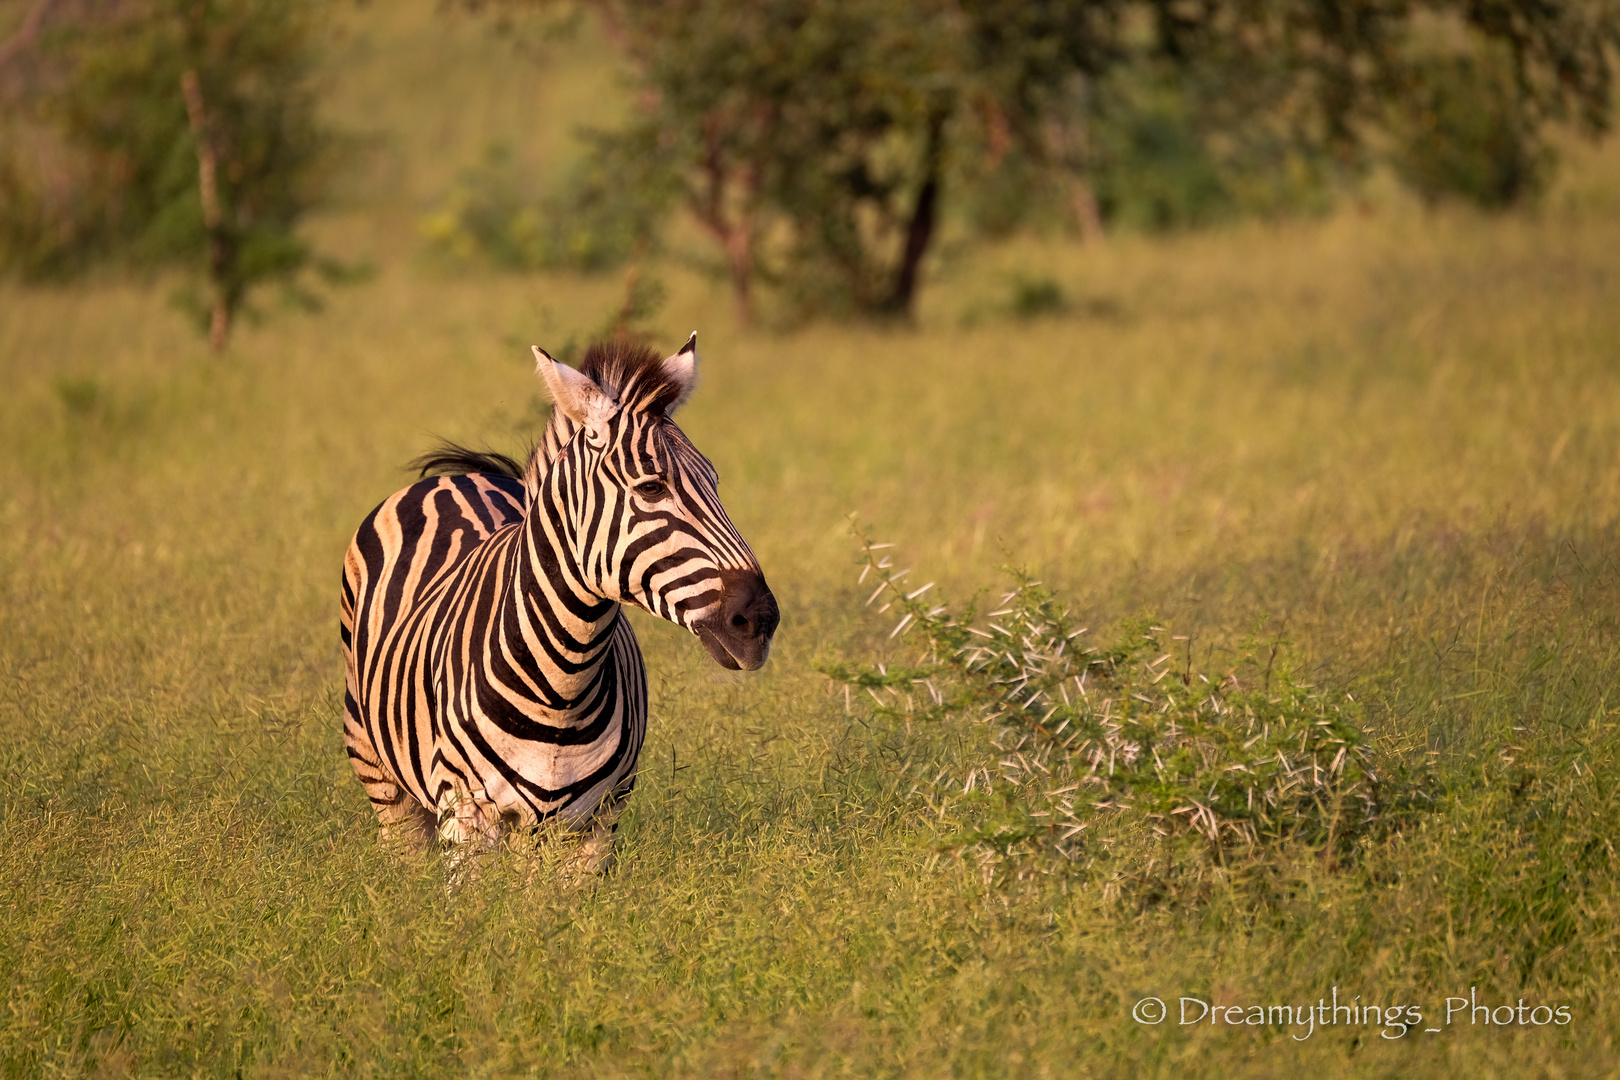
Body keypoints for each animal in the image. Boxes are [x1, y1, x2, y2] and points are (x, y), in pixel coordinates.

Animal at [336, 333, 777, 874]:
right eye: (652, 487)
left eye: (714, 483)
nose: (759, 620)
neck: (563, 687)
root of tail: (455, 479)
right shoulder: (466, 816)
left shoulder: (595, 823)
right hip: (380, 774)